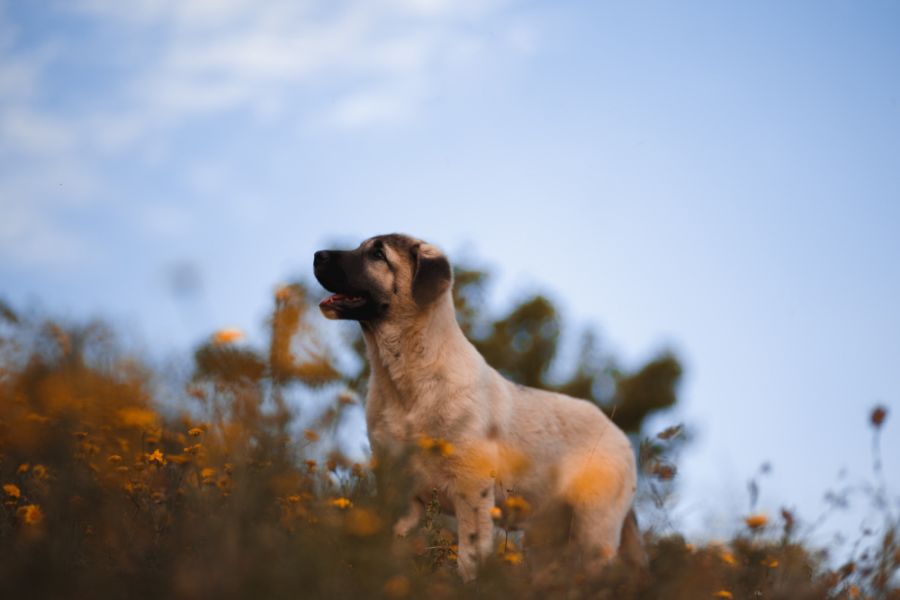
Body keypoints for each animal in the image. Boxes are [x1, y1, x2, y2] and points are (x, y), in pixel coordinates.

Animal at [314, 232, 640, 580]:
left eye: (377, 254)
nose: (317, 255)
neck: (405, 382)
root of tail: (620, 436)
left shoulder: (472, 492)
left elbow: (470, 556)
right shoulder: (398, 490)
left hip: (595, 528)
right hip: (547, 535)